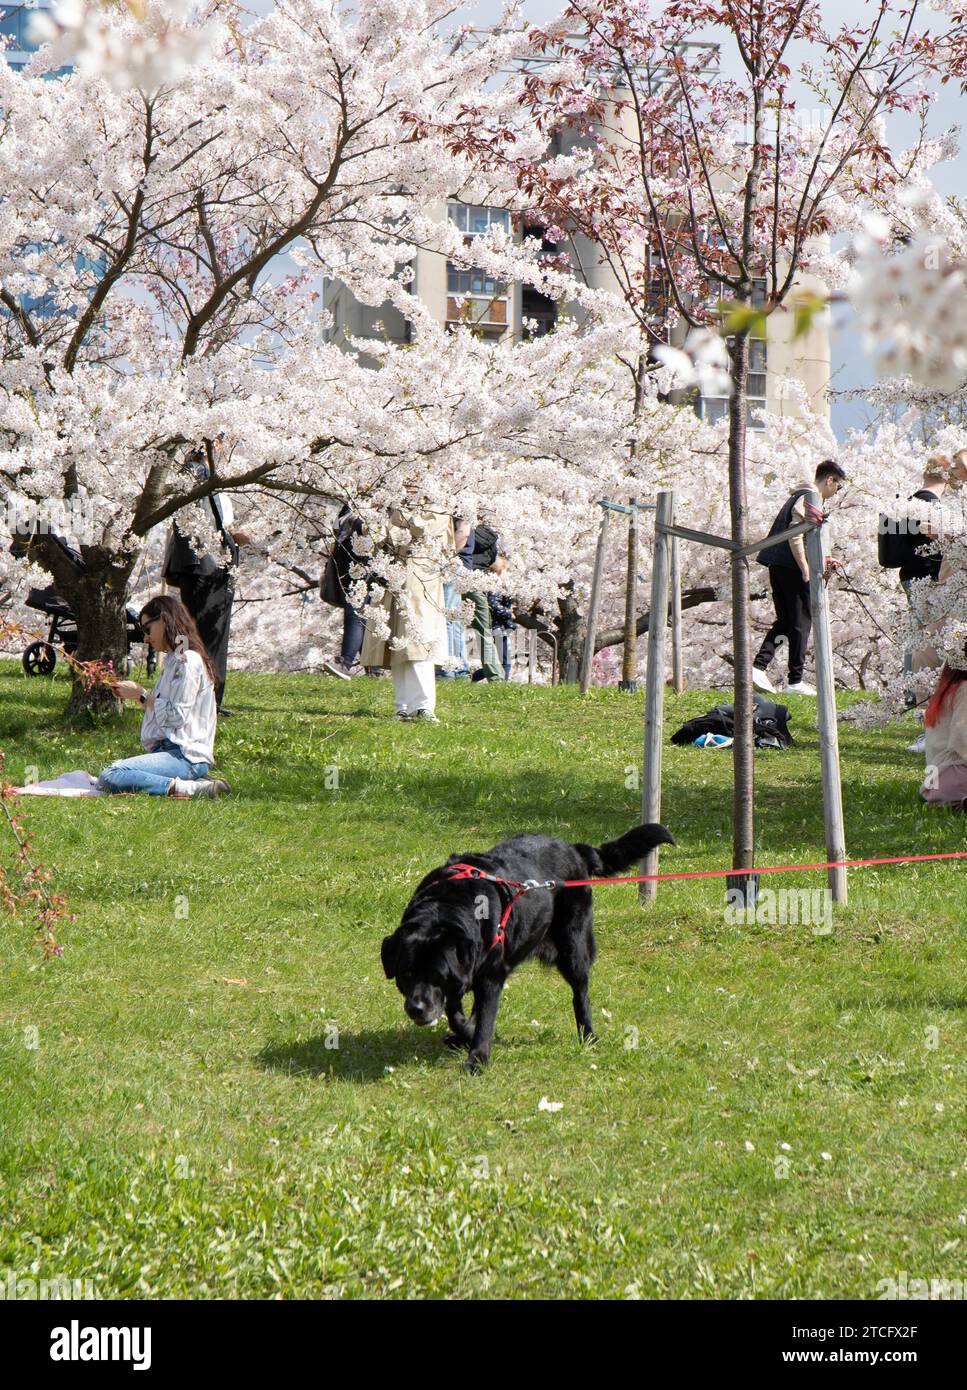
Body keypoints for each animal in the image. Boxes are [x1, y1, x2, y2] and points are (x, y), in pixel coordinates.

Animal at [380, 828, 675, 1067]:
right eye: (407, 974)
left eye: (436, 975)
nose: (416, 1008)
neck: (447, 906)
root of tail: (574, 848)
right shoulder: (465, 974)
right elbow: (457, 1011)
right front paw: (464, 1033)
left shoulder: (491, 976)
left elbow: (484, 1020)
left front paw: (477, 1059)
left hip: (574, 949)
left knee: (580, 994)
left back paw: (589, 1034)